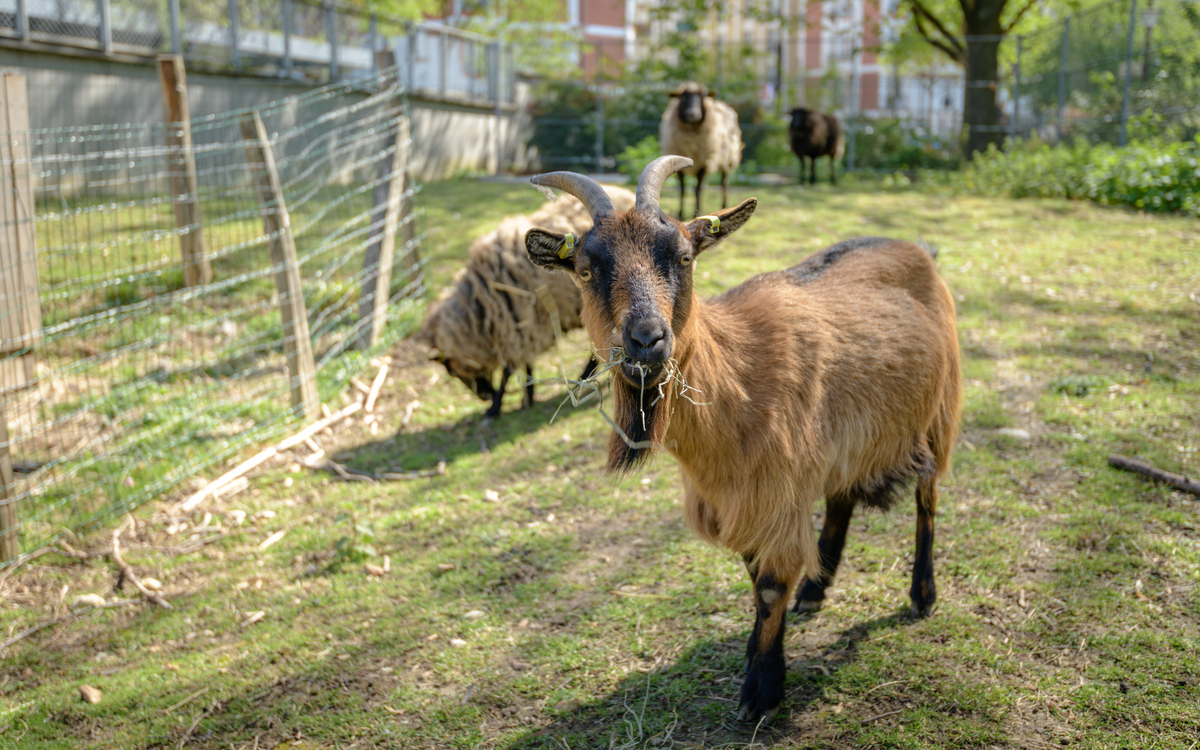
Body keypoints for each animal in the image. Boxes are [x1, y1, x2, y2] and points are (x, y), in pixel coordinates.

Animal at [415, 181, 638, 415]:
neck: (481, 306)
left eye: (454, 371)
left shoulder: (517, 323)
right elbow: (525, 364)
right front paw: (526, 398)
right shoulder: (524, 325)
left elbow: (509, 369)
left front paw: (495, 407)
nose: (484, 396)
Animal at [520, 156, 960, 720]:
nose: (647, 340)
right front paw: (758, 648)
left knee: (928, 497)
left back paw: (923, 594)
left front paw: (762, 690)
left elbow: (770, 586)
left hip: (939, 409)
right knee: (843, 498)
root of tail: (918, 248)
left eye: (684, 257)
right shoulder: (743, 497)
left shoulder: (776, 491)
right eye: (586, 270)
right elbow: (755, 577)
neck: (738, 377)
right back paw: (816, 589)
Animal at [657, 84, 739, 220]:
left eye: (703, 96)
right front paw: (680, 214)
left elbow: (698, 189)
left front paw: (697, 212)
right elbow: (683, 189)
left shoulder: (704, 164)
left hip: (727, 158)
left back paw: (724, 205)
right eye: (682, 97)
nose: (693, 114)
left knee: (724, 182)